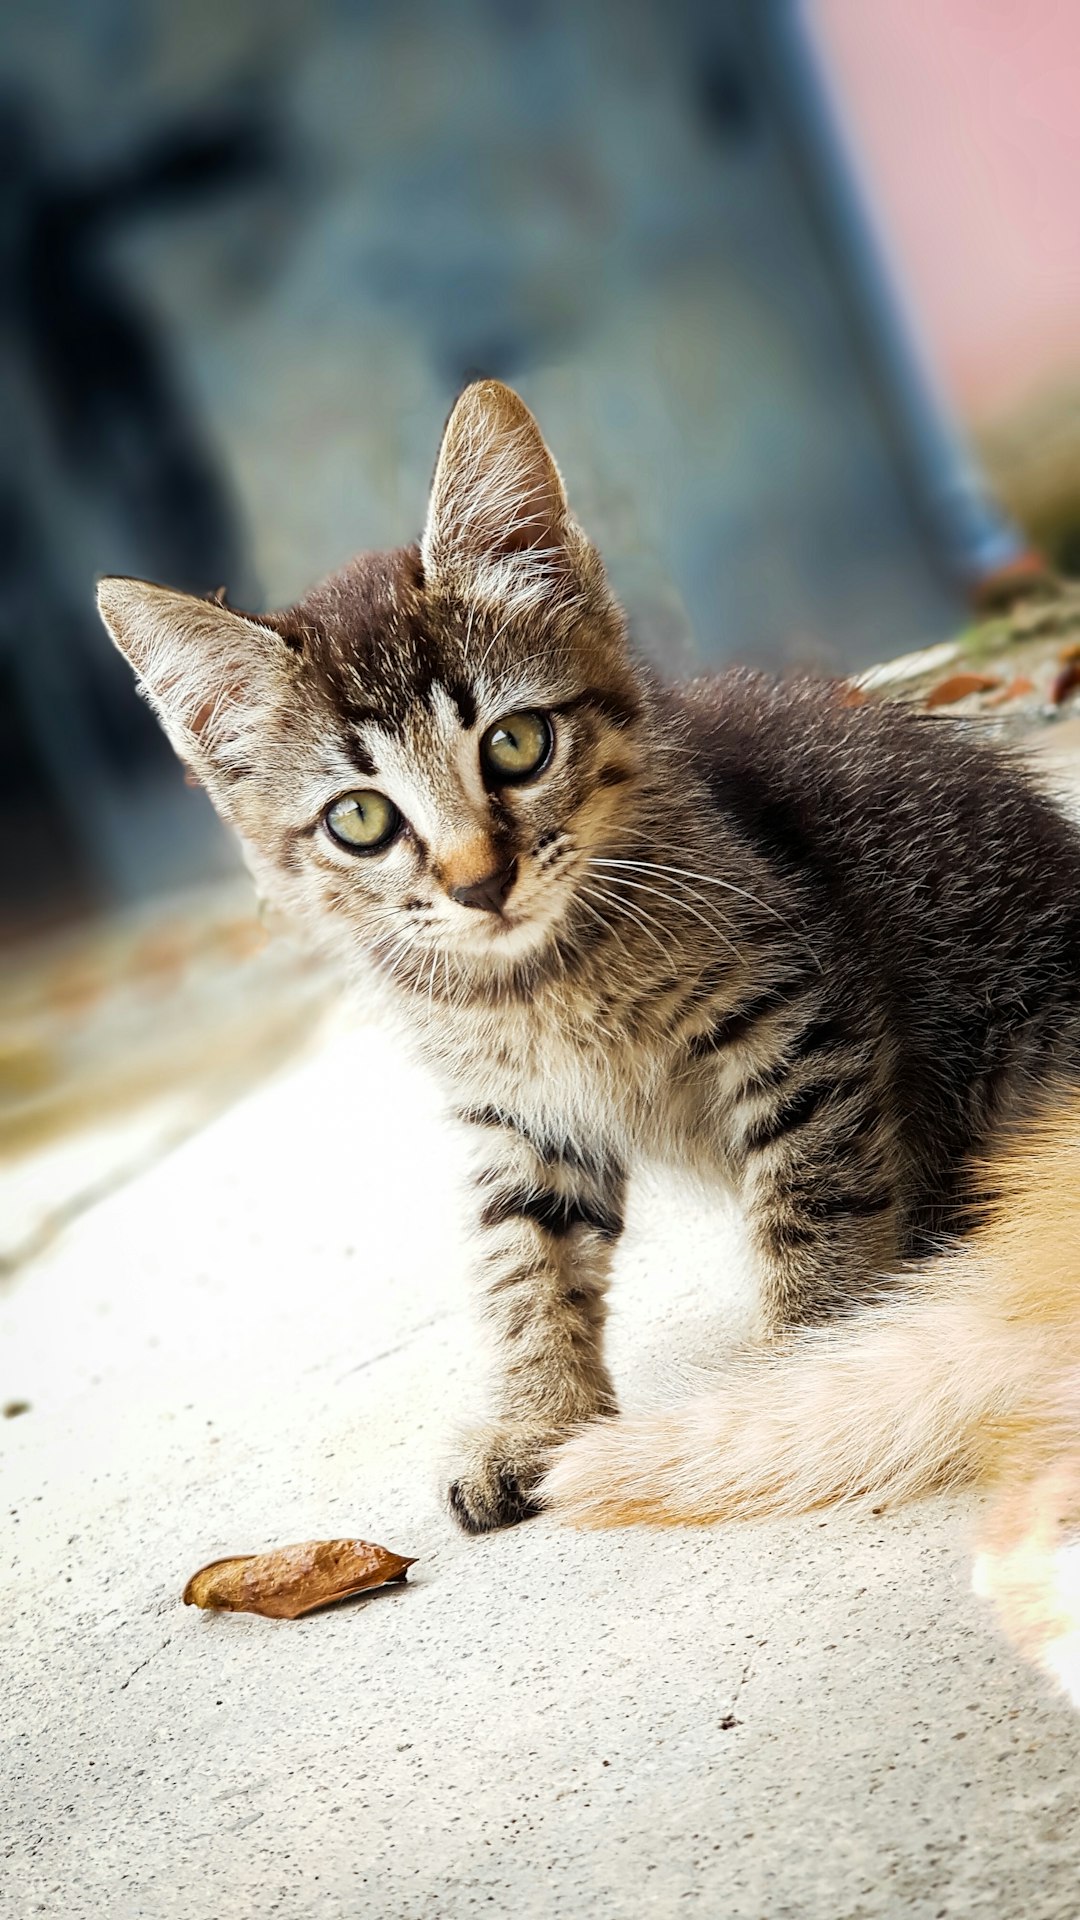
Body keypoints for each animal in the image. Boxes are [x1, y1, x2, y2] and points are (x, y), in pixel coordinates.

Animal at [94, 378, 1076, 1589]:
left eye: (516, 744)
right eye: (360, 819)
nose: (480, 881)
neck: (540, 979)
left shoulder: (795, 1014)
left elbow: (815, 1196)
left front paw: (807, 1364)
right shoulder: (518, 1112)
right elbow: (524, 1259)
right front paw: (535, 1418)